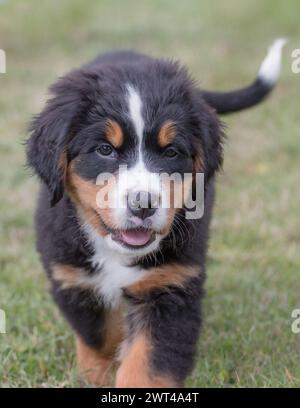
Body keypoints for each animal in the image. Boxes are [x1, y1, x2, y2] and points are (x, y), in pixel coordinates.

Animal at [27, 39, 284, 388]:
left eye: (171, 152)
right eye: (104, 150)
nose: (143, 204)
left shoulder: (171, 284)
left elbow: (147, 362)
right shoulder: (73, 276)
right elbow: (99, 334)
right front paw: (99, 372)